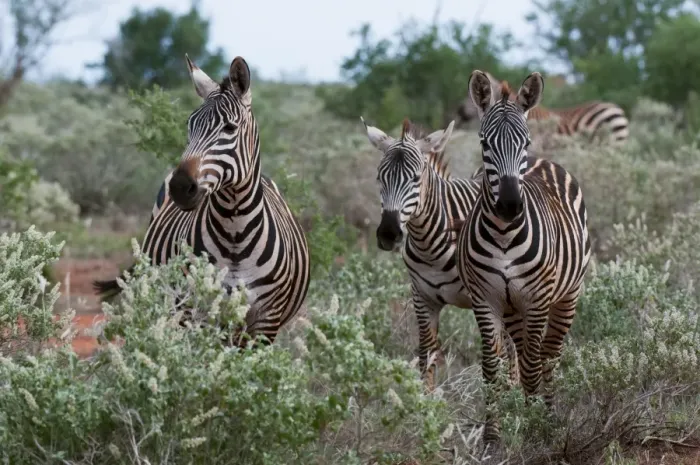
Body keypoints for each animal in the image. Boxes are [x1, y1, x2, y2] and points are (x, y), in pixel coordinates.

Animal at [93, 55, 311, 348]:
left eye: (229, 127)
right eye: (190, 126)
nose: (180, 187)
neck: (235, 233)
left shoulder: (266, 320)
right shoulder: (198, 314)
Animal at [361, 117, 518, 392]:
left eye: (416, 178)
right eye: (379, 177)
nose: (389, 233)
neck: (429, 247)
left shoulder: (485, 298)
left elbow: (495, 355)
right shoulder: (423, 298)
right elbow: (427, 355)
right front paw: (424, 399)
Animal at [456, 71, 591, 443]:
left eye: (525, 142)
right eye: (484, 143)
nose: (510, 206)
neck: (504, 234)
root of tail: (544, 162)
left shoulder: (537, 298)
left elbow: (532, 364)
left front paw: (536, 431)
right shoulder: (485, 299)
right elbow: (492, 368)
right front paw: (492, 438)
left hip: (566, 296)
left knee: (548, 355)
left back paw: (549, 414)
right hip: (512, 307)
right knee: (522, 353)